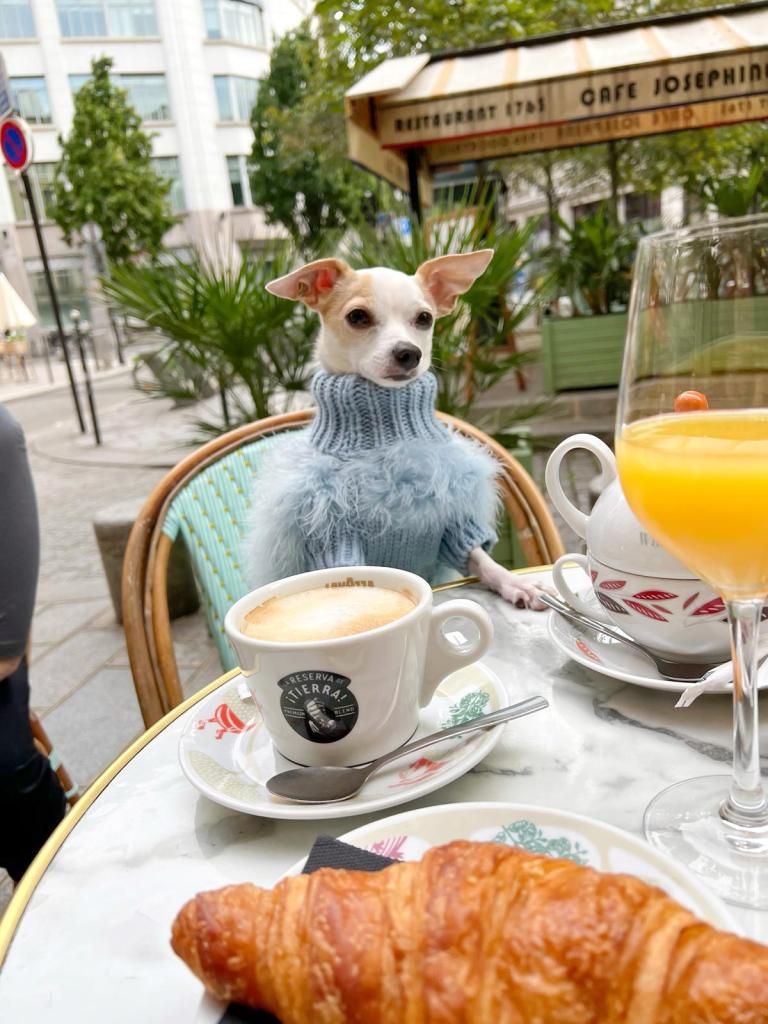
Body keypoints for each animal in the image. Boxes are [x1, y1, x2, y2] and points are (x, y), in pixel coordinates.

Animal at [243, 250, 544, 606]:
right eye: (357, 316)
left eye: (424, 318)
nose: (408, 352)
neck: (384, 434)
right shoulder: (334, 534)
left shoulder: (454, 523)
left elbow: (480, 558)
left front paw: (513, 582)